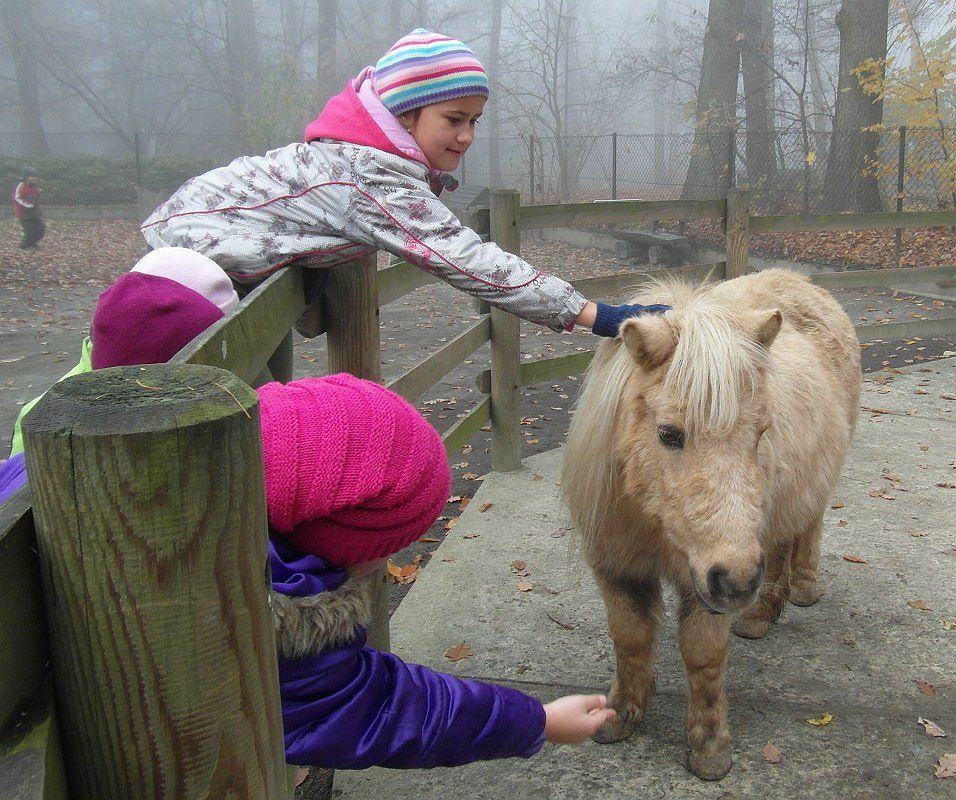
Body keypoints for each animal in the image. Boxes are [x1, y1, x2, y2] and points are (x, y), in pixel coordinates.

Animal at [561, 268, 860, 780]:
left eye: (760, 433)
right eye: (668, 434)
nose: (738, 582)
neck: (652, 518)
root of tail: (799, 280)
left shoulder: (704, 581)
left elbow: (703, 655)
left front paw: (709, 745)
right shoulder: (616, 563)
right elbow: (629, 637)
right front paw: (618, 716)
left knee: (806, 528)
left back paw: (797, 590)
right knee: (778, 547)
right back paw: (761, 615)